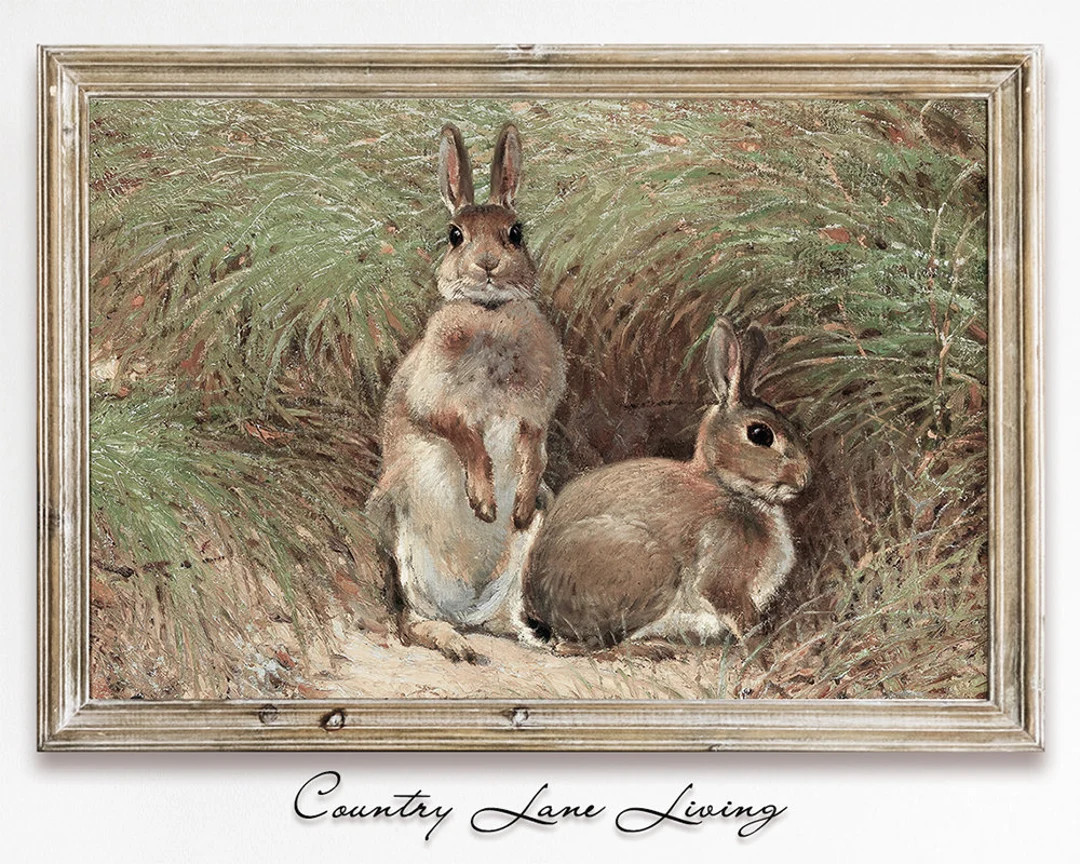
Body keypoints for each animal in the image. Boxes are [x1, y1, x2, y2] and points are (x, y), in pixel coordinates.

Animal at [365, 122, 566, 665]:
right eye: (455, 235)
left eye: (516, 232)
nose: (488, 264)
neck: (489, 314)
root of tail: (467, 607)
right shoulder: (433, 401)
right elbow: (463, 435)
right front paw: (483, 502)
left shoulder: (535, 415)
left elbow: (535, 448)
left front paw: (513, 507)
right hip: (399, 536)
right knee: (409, 620)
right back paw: (453, 642)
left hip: (525, 550)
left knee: (505, 615)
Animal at [522, 316, 809, 656]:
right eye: (760, 435)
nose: (804, 478)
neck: (727, 487)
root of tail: (537, 608)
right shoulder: (723, 575)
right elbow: (739, 614)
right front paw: (762, 647)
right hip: (653, 571)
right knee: (596, 645)